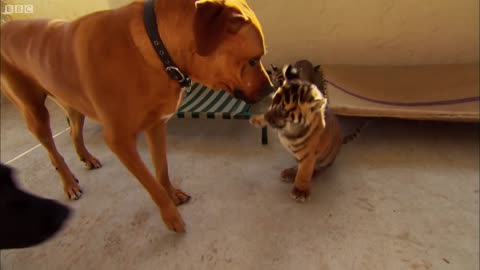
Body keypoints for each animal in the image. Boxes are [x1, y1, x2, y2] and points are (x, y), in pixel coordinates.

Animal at [0, 0, 272, 232]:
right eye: (253, 60)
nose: (271, 89)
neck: (155, 49)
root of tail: (6, 26)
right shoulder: (119, 141)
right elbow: (151, 183)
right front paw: (170, 216)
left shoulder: (157, 125)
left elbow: (161, 169)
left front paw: (172, 193)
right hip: (34, 112)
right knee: (52, 150)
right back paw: (69, 183)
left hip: (72, 103)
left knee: (73, 132)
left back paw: (86, 157)